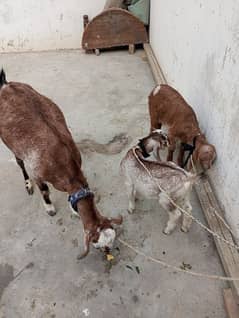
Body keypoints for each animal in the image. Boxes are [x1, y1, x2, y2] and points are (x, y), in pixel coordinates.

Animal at [0, 69, 122, 258]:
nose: (109, 253)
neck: (62, 162)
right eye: (98, 246)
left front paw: (73, 209)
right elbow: (44, 191)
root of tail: (6, 86)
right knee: (19, 162)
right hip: (9, 142)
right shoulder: (37, 171)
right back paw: (27, 184)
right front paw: (50, 208)